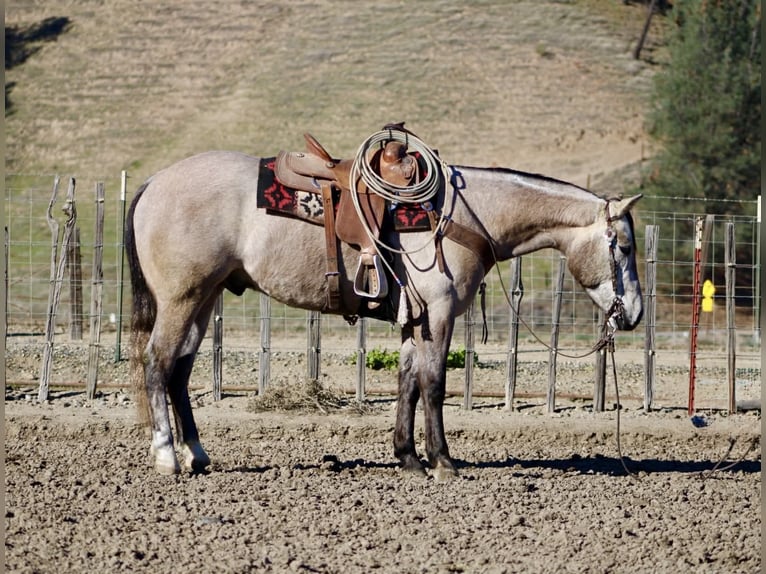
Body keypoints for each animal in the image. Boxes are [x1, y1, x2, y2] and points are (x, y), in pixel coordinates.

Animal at [125, 144, 643, 481]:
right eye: (624, 245)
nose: (634, 313)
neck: (465, 215)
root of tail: (154, 184)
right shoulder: (438, 315)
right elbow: (433, 385)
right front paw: (443, 462)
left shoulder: (415, 321)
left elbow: (407, 383)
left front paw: (408, 458)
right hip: (182, 298)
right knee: (157, 363)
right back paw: (167, 457)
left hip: (204, 298)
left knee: (179, 371)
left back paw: (196, 454)